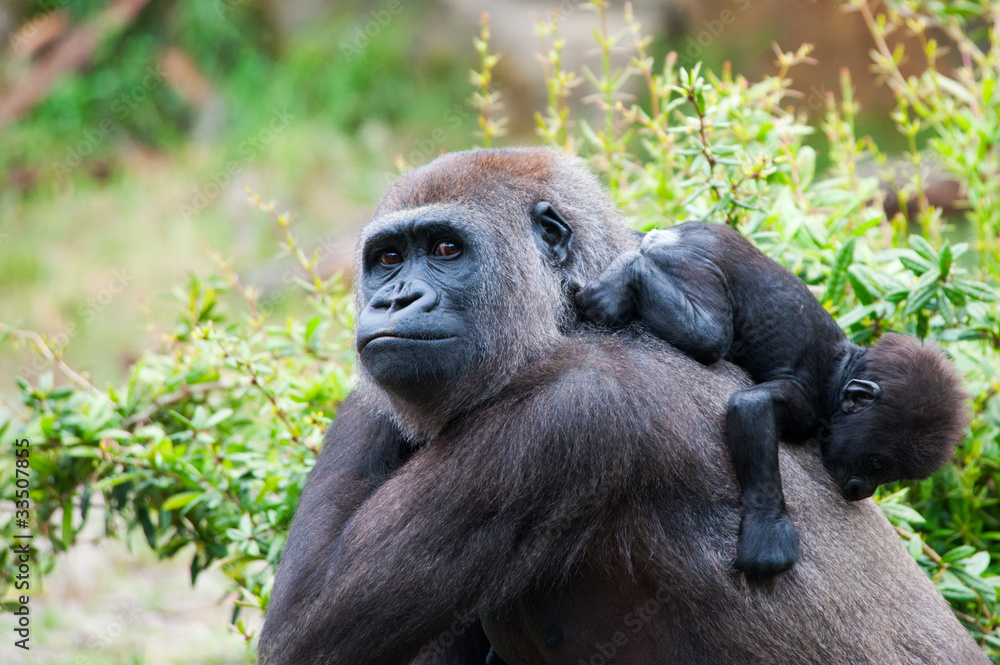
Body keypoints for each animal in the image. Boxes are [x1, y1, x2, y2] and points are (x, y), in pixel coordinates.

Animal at [580, 222, 968, 576]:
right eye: (877, 464)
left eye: (888, 474)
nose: (864, 491)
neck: (843, 373)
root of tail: (680, 232)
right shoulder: (807, 405)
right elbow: (753, 408)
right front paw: (769, 529)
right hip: (688, 260)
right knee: (707, 335)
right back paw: (631, 269)